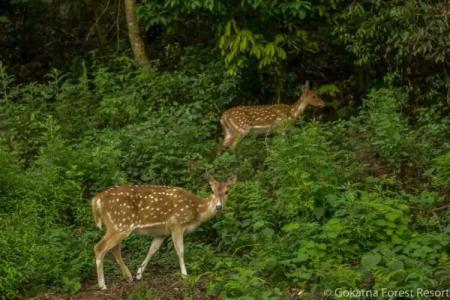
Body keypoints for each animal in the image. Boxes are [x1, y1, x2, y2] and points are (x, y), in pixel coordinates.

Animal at [92, 175, 237, 290]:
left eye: (227, 191)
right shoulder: (176, 224)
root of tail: (96, 201)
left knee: (114, 248)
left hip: (115, 226)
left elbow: (152, 250)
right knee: (99, 247)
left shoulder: (161, 232)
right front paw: (185, 276)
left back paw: (128, 277)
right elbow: (180, 251)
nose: (218, 206)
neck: (196, 210)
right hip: (121, 224)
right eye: (212, 190)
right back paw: (102, 285)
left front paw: (139, 273)